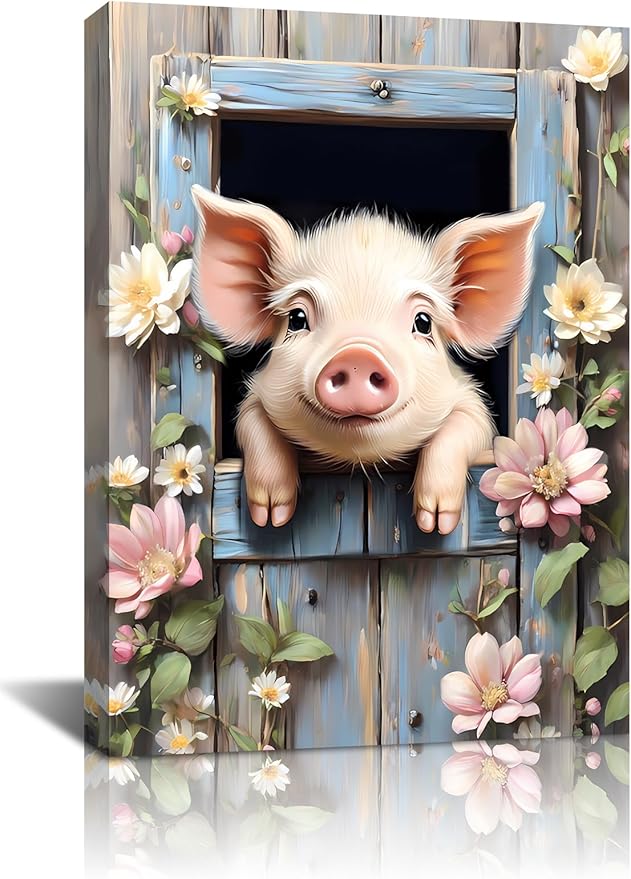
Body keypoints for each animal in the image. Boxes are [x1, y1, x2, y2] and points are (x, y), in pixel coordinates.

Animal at [191, 185, 544, 534]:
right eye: (297, 318)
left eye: (423, 322)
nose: (357, 355)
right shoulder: (255, 398)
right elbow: (252, 419)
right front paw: (272, 516)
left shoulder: (473, 405)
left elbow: (469, 425)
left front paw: (436, 522)